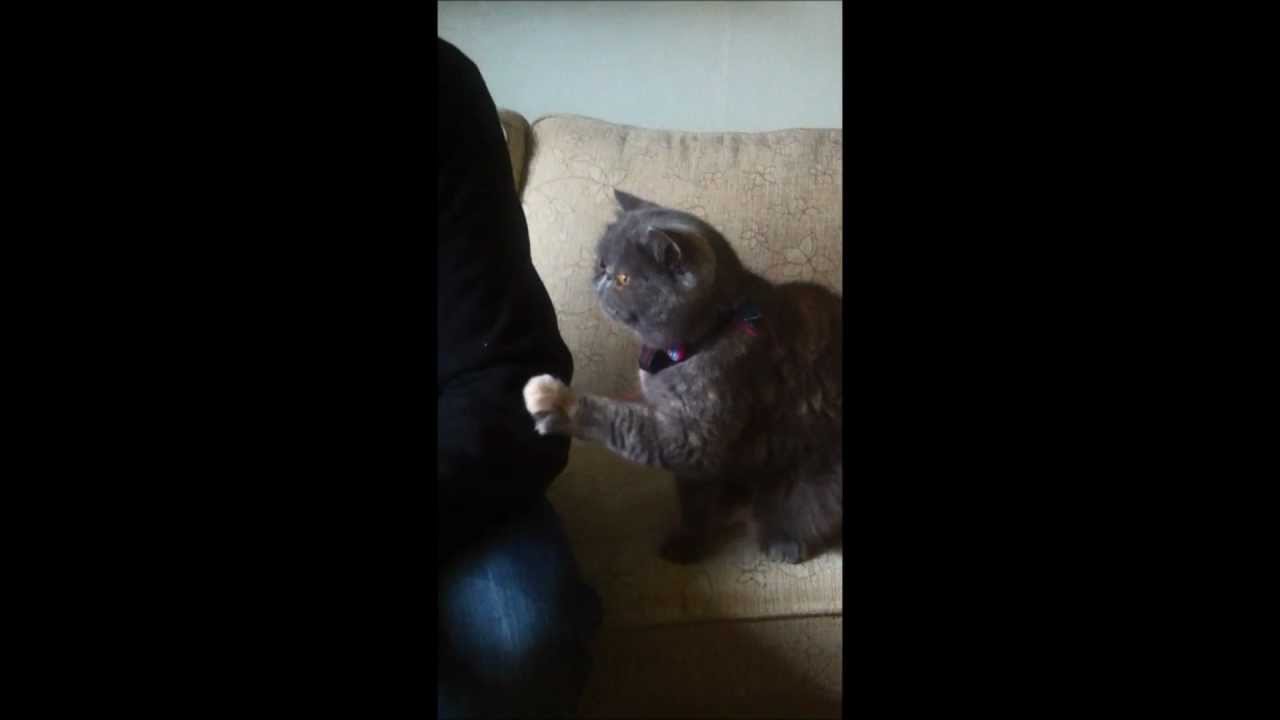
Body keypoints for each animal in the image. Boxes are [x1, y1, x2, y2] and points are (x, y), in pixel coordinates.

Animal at [524, 189, 842, 564]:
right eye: (601, 263)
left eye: (624, 279)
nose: (600, 280)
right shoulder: (692, 459)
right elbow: (694, 501)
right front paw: (687, 543)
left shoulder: (692, 431)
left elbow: (624, 423)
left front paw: (556, 401)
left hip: (810, 479)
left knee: (802, 513)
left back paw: (782, 542)